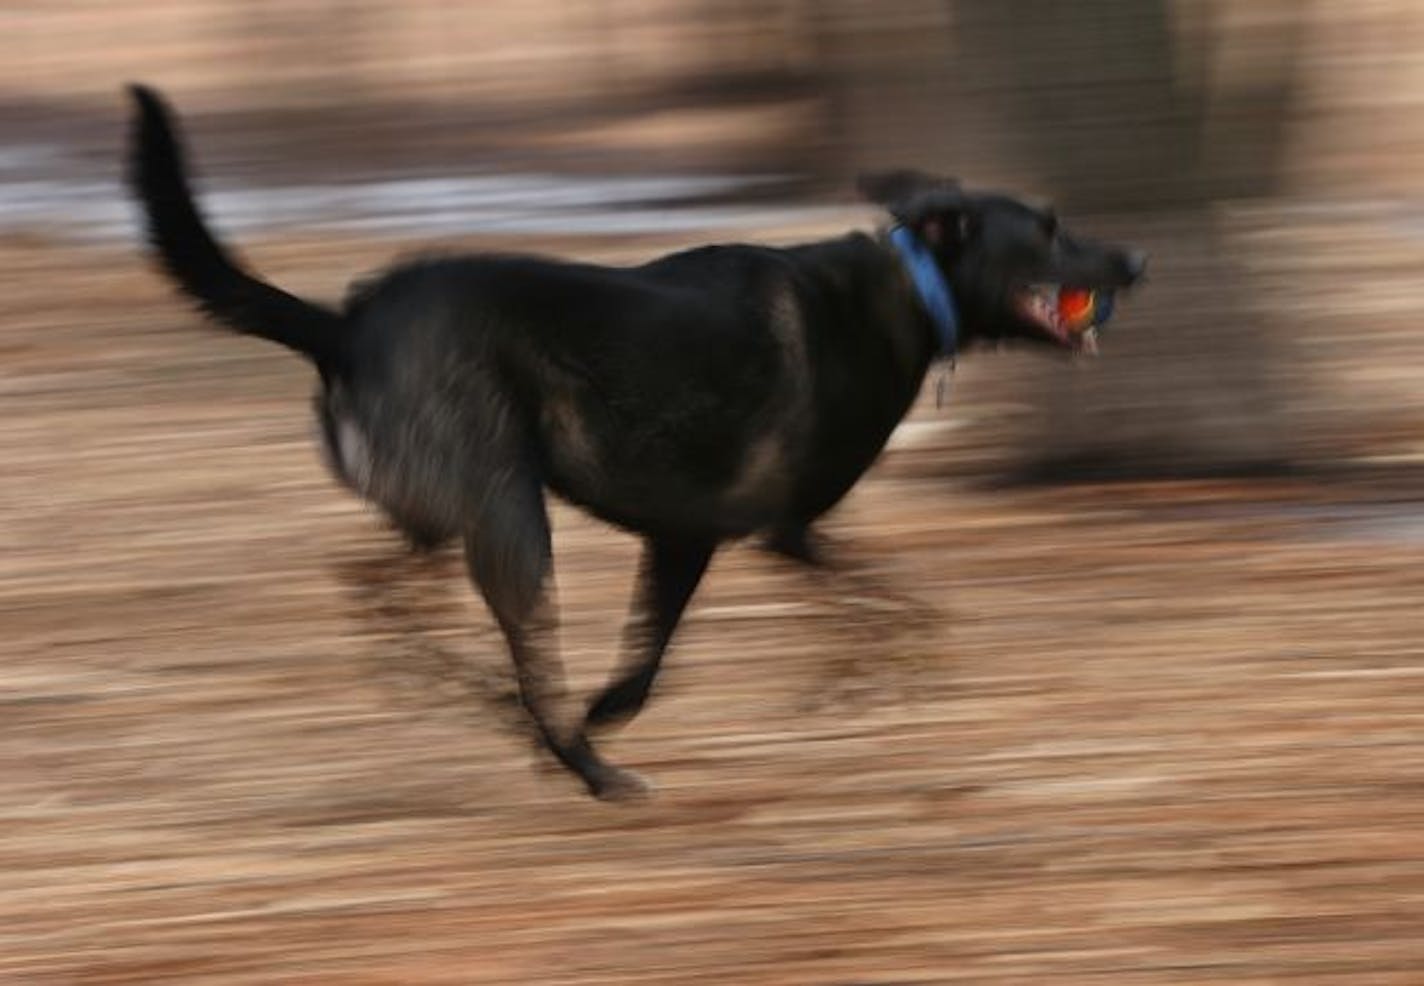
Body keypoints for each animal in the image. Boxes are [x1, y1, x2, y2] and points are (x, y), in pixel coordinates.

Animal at [125, 84, 1144, 803]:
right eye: (1049, 228)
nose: (1136, 259)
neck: (912, 283)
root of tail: (344, 327)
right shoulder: (773, 530)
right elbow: (892, 604)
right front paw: (865, 679)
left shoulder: (685, 538)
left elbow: (649, 664)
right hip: (510, 521)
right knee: (510, 653)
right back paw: (585, 765)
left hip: (440, 515)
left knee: (372, 590)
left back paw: (477, 699)